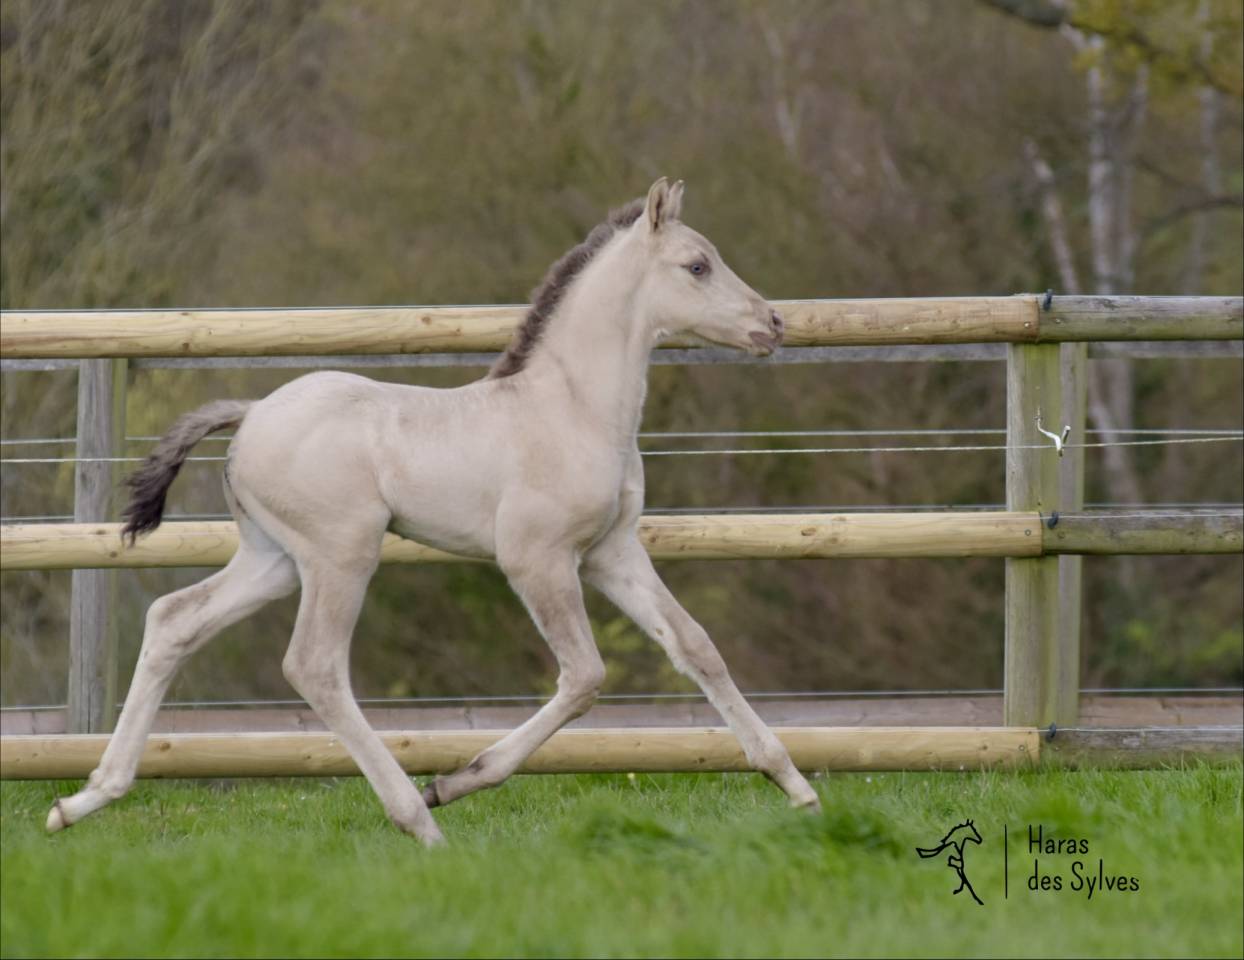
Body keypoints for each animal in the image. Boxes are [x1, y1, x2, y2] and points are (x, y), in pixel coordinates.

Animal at [47, 178, 820, 845]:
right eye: (697, 265)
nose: (773, 323)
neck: (571, 410)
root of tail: (253, 413)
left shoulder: (613, 552)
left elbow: (695, 646)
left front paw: (796, 786)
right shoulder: (536, 559)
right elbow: (584, 677)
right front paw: (455, 781)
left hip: (274, 559)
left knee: (173, 620)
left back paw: (83, 800)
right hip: (341, 554)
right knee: (315, 666)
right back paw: (417, 818)